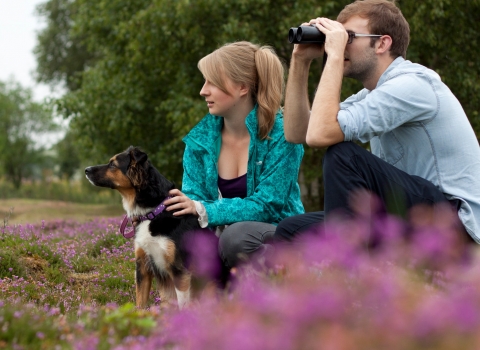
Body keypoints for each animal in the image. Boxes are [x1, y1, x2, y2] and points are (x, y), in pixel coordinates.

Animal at [84, 146, 201, 308]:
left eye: (112, 164)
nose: (86, 170)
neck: (153, 211)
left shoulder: (179, 270)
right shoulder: (143, 265)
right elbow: (140, 302)